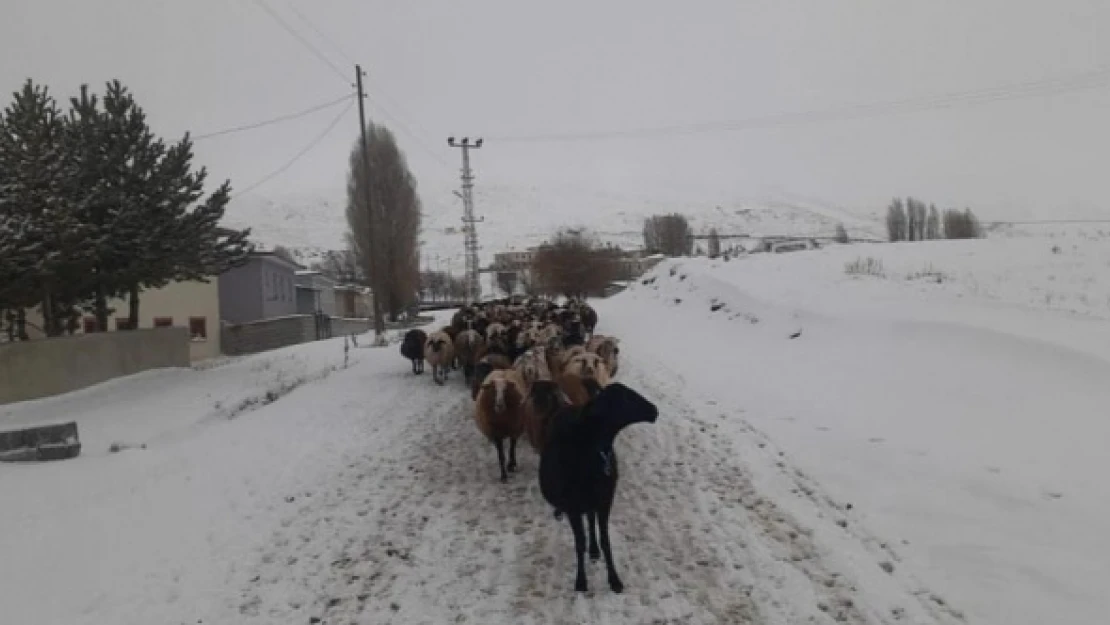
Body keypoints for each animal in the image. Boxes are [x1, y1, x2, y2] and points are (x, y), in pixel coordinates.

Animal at [539, 379, 657, 595]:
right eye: (625, 398)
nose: (654, 410)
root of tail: (565, 405)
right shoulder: (574, 506)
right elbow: (579, 543)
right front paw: (581, 582)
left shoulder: (605, 500)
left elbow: (605, 540)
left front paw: (615, 580)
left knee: (591, 519)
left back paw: (594, 550)